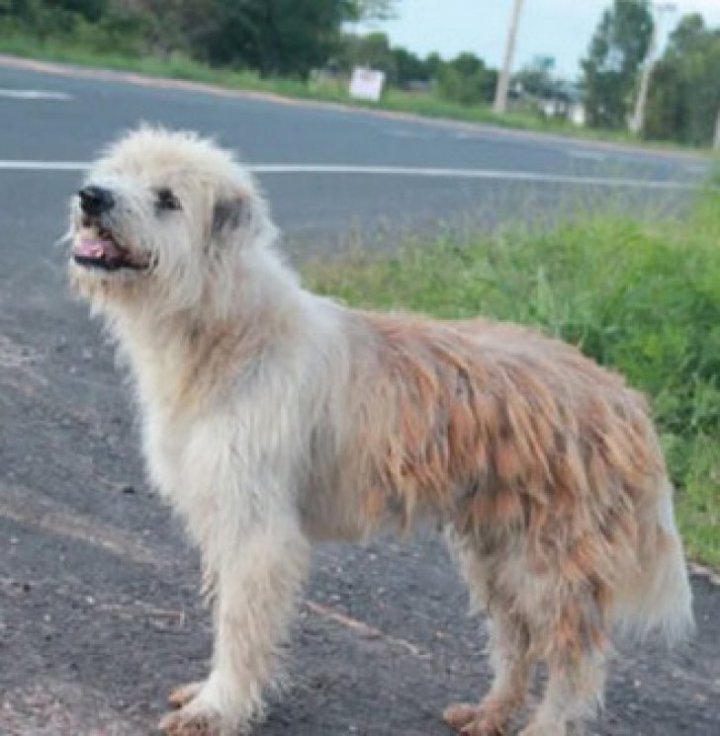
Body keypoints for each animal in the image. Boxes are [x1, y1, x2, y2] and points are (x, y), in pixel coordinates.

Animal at [67, 128, 692, 736]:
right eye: (120, 171)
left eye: (168, 199)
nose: (91, 196)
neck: (228, 329)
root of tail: (626, 402)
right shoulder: (227, 514)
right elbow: (228, 613)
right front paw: (211, 693)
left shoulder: (259, 531)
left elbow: (240, 625)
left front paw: (217, 708)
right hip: (497, 554)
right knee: (517, 641)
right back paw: (489, 713)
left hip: (549, 565)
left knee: (574, 659)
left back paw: (544, 726)